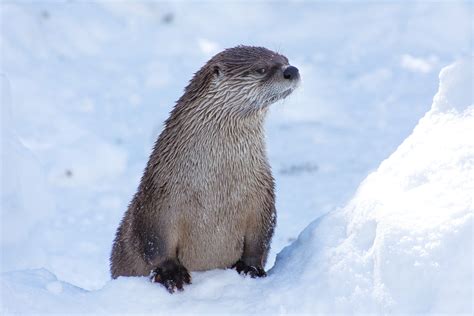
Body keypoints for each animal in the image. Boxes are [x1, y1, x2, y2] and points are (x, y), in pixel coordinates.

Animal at [110, 45, 300, 292]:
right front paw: (172, 275)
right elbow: (155, 243)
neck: (216, 183)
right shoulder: (158, 200)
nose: (292, 70)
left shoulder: (262, 195)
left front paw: (250, 268)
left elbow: (260, 240)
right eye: (261, 69)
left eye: (285, 59)